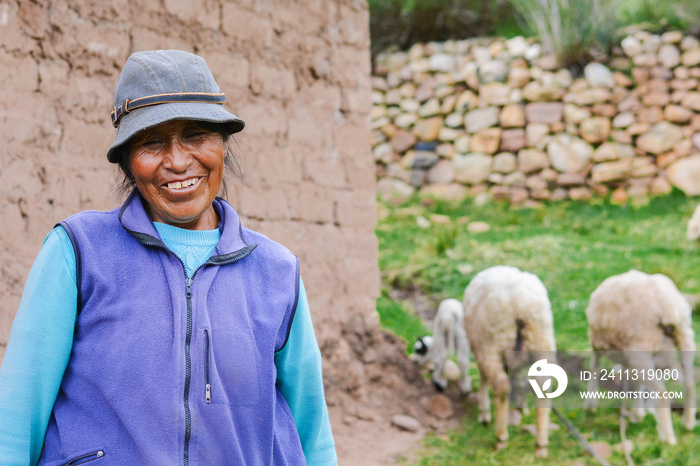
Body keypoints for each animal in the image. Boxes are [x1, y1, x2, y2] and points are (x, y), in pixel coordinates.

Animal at [462, 264, 556, 456]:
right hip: (541, 340)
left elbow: (483, 380)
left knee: (500, 385)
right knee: (543, 386)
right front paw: (521, 406)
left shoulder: (480, 349)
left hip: (490, 344)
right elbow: (519, 378)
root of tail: (521, 305)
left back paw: (501, 437)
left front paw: (484, 413)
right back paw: (541, 443)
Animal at [584, 270, 696, 444]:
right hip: (685, 338)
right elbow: (636, 382)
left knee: (662, 393)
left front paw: (590, 405)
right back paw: (688, 423)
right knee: (690, 384)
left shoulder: (598, 345)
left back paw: (668, 438)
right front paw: (639, 413)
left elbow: (593, 368)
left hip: (640, 348)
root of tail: (668, 308)